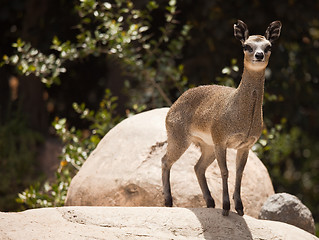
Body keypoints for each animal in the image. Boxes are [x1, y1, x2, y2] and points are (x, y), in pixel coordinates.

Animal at [162, 20, 282, 216]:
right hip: (179, 139)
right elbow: (225, 171)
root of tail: (173, 106)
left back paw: (210, 202)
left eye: (268, 46)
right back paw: (168, 201)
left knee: (198, 167)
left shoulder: (245, 146)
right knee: (166, 161)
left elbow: (239, 173)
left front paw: (239, 208)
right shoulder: (221, 141)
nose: (259, 55)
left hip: (207, 146)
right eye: (246, 45)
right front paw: (226, 207)